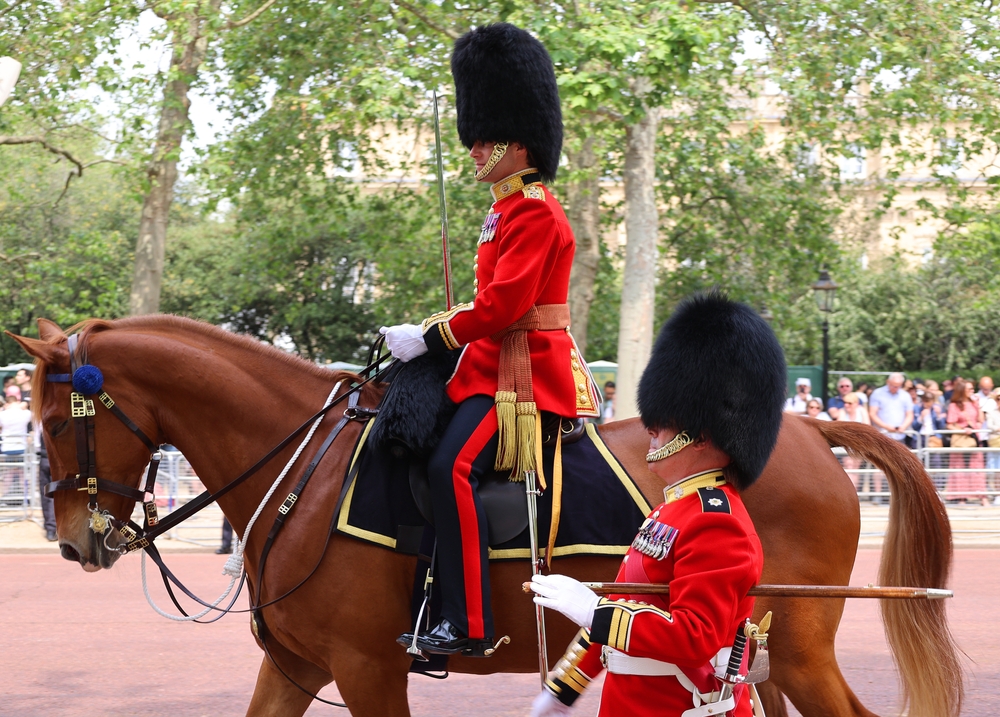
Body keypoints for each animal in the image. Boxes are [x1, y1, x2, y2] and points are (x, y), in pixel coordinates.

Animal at [7, 318, 960, 716]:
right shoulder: (298, 665)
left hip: (795, 645)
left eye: (52, 420)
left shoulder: (367, 668)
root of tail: (810, 423)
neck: (302, 472)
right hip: (759, 654)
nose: (75, 541)